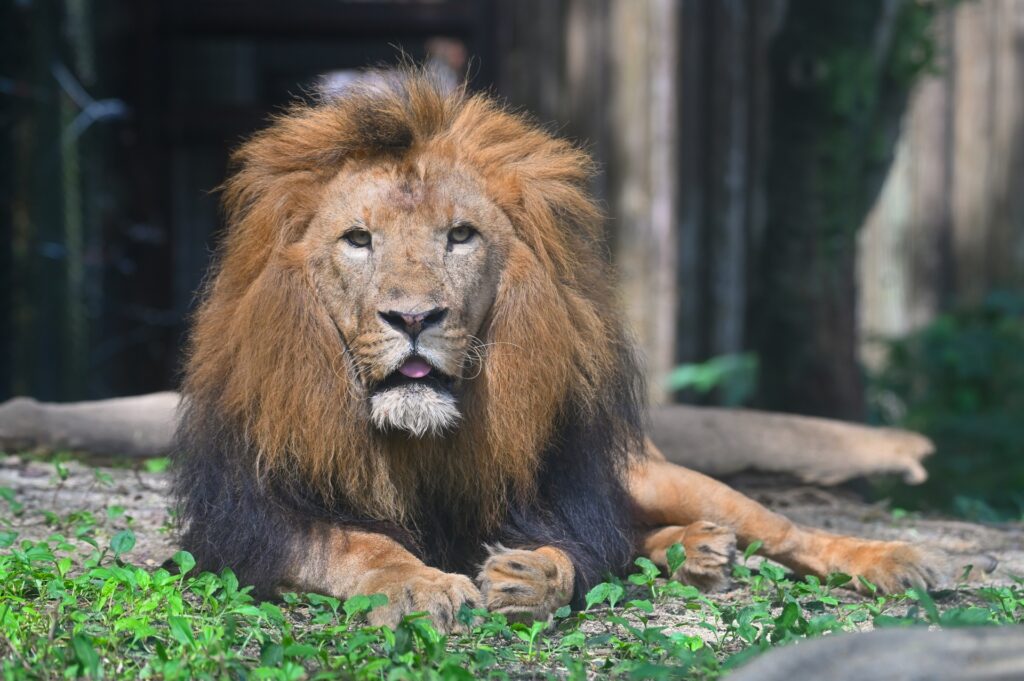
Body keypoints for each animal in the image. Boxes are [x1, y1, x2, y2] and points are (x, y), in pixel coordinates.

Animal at [169, 66, 942, 630]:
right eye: (357, 239)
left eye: (460, 235)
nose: (414, 317)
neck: (419, 441)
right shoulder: (247, 518)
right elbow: (357, 540)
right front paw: (418, 583)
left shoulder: (562, 490)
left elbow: (578, 548)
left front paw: (533, 574)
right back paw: (697, 550)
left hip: (660, 474)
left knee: (776, 528)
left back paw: (887, 559)